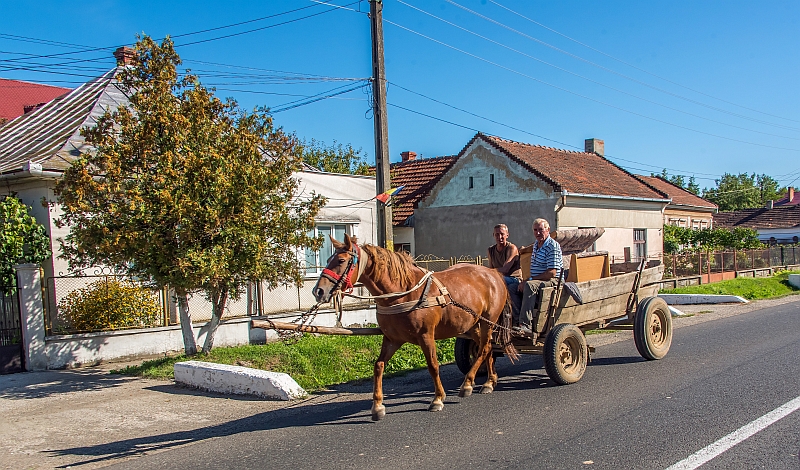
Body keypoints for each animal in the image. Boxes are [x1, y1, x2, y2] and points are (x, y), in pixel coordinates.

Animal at [312, 233, 520, 420]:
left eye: (340, 260)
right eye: (329, 259)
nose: (318, 291)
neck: (402, 292)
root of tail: (493, 274)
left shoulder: (426, 336)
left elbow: (433, 366)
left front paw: (438, 399)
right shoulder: (392, 339)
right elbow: (378, 366)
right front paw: (377, 406)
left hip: (487, 322)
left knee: (484, 348)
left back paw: (468, 384)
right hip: (471, 325)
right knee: (487, 347)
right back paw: (489, 381)